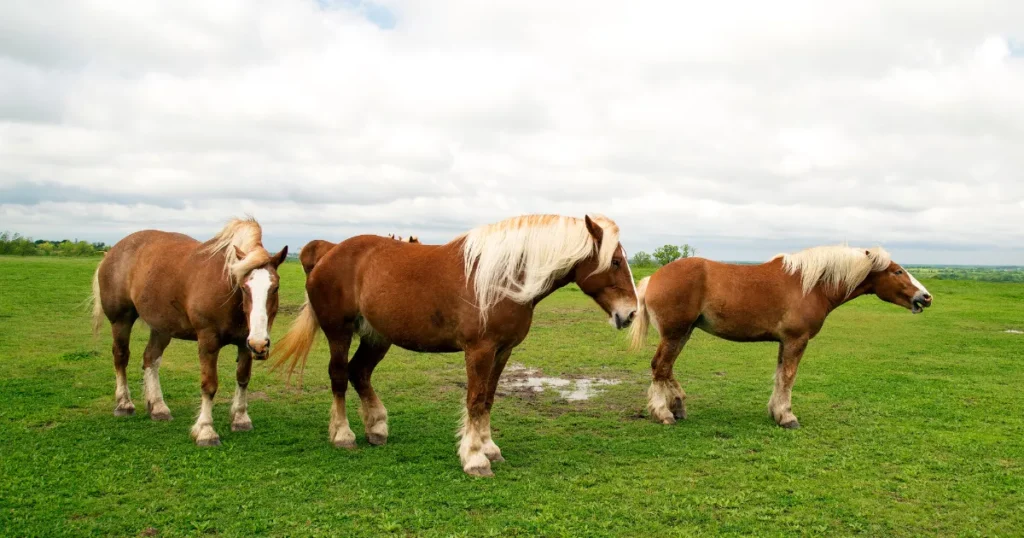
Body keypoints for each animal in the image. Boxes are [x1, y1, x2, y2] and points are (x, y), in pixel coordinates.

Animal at [90, 217, 288, 444]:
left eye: (275, 288)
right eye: (244, 287)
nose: (260, 345)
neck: (227, 291)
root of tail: (112, 251)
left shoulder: (245, 342)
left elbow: (243, 378)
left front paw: (240, 419)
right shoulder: (208, 342)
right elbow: (209, 385)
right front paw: (205, 430)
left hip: (161, 328)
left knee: (151, 359)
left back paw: (158, 407)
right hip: (121, 320)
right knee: (121, 356)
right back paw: (124, 404)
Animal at [272, 213, 638, 473]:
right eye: (615, 261)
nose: (631, 313)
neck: (504, 278)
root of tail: (328, 252)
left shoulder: (503, 351)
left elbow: (488, 399)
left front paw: (490, 449)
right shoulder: (479, 350)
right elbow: (474, 400)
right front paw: (475, 458)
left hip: (377, 337)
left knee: (359, 372)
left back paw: (377, 428)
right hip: (339, 331)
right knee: (338, 376)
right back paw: (343, 435)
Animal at [626, 246, 933, 428]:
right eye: (898, 271)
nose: (926, 297)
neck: (811, 285)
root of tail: (653, 278)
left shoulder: (785, 342)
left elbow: (779, 376)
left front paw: (775, 411)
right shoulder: (797, 340)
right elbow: (788, 377)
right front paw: (786, 416)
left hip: (683, 333)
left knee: (665, 369)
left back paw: (677, 404)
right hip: (675, 333)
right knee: (660, 367)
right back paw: (663, 412)